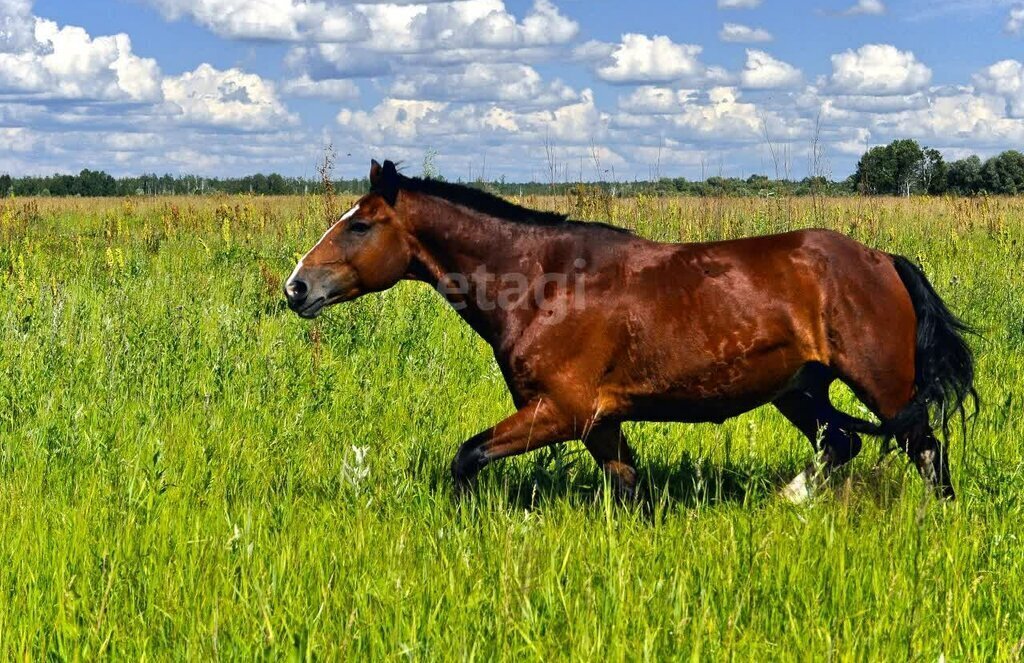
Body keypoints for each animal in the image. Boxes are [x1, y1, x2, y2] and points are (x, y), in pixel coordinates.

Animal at [282, 161, 974, 504]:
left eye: (360, 225)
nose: (296, 287)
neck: (543, 284)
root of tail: (883, 259)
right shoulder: (600, 421)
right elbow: (629, 488)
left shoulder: (561, 411)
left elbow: (467, 456)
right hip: (799, 389)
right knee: (842, 444)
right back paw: (792, 500)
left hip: (883, 386)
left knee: (926, 451)